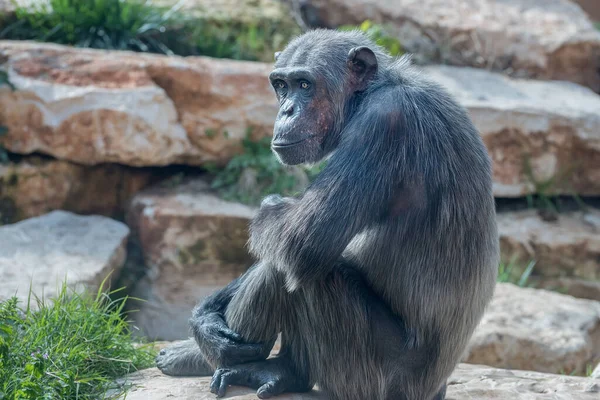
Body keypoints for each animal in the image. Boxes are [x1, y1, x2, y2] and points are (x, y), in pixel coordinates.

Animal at [155, 29, 496, 400]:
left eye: (305, 84)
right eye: (281, 85)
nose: (287, 109)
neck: (368, 95)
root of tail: (433, 390)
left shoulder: (384, 125)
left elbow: (299, 239)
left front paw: (271, 207)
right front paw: (206, 320)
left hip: (369, 377)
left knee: (295, 267)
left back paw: (248, 366)